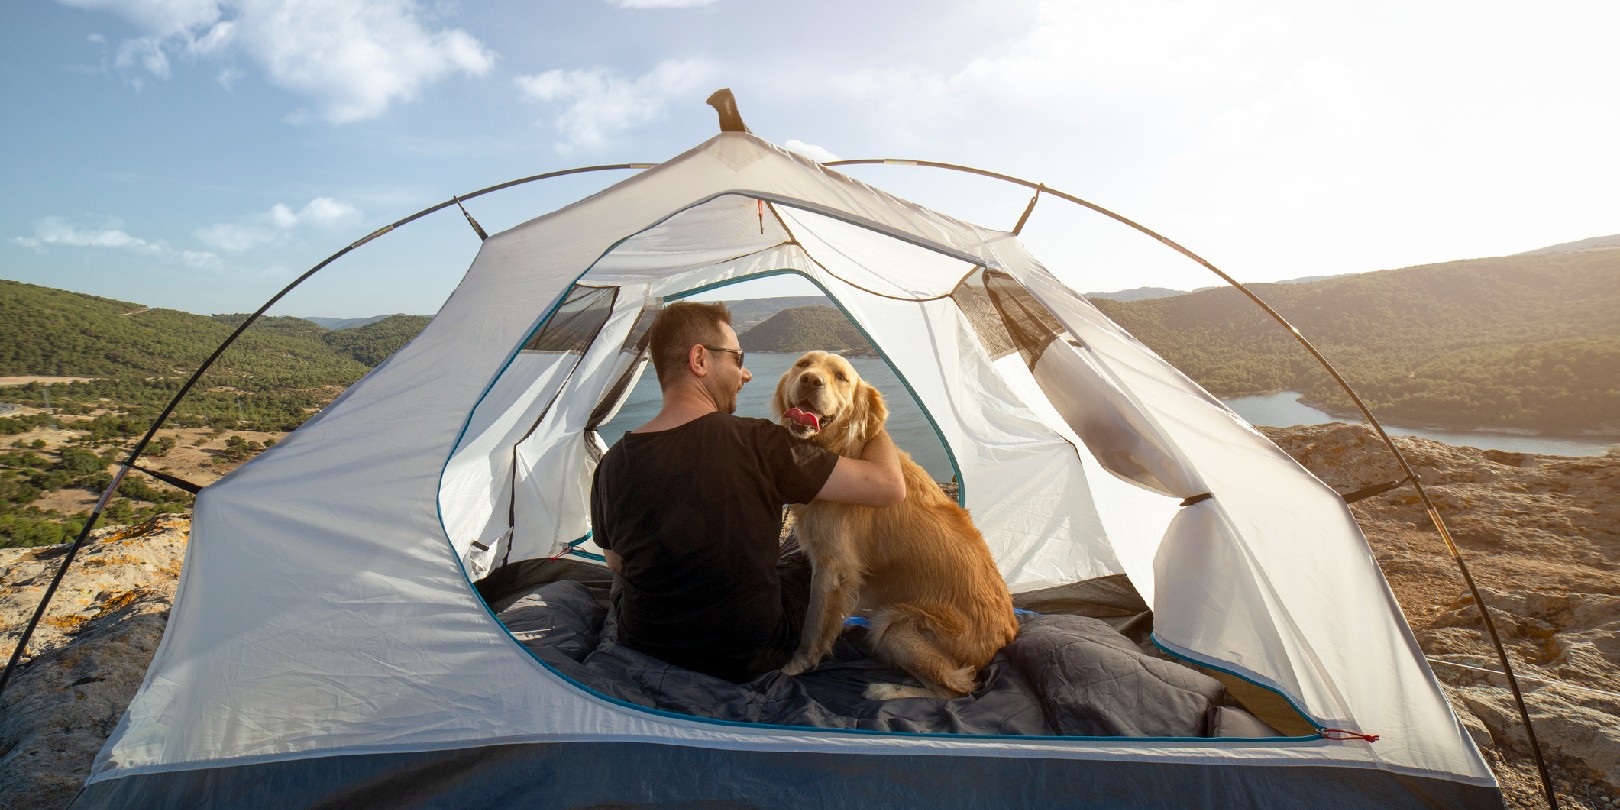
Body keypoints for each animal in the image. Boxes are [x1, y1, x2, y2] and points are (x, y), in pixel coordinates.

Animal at [771, 351, 1010, 699]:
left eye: (840, 377)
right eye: (803, 364)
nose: (810, 380)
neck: (839, 449)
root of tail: (1003, 640)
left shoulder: (833, 567)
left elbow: (813, 622)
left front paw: (795, 665)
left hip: (893, 626)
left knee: (955, 690)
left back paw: (887, 690)